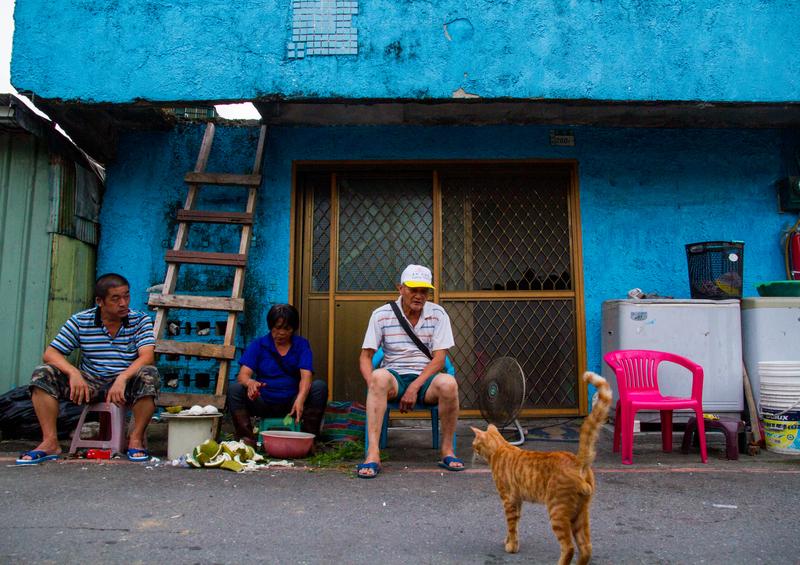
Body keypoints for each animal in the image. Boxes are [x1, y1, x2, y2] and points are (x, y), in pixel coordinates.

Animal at [476, 370, 612, 564]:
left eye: (474, 444)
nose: (473, 451)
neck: (501, 447)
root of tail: (578, 461)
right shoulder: (517, 500)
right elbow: (514, 525)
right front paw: (510, 541)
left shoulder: (508, 499)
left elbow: (511, 525)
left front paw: (511, 546)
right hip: (580, 514)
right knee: (586, 547)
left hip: (557, 511)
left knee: (569, 547)